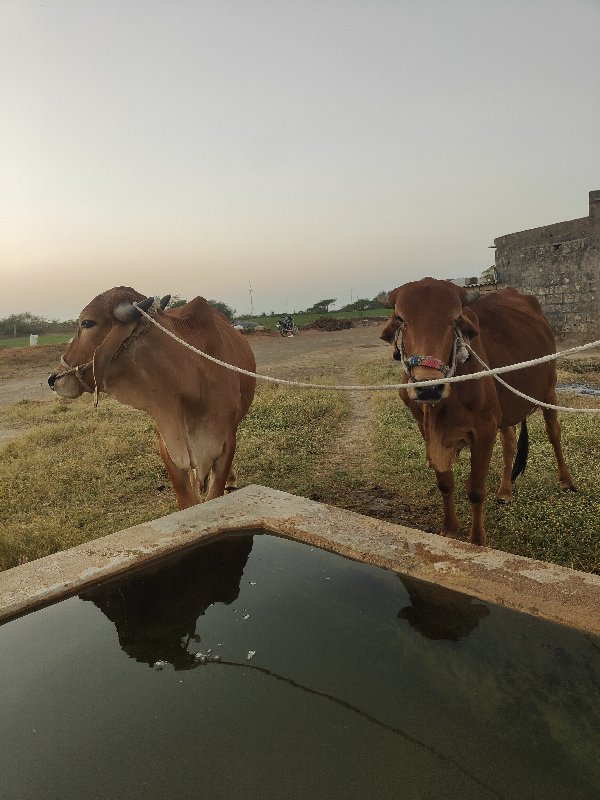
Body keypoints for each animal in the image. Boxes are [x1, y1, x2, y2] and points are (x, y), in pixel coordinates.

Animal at [382, 278, 576, 548]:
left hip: (548, 391)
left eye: (455, 318)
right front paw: (450, 531)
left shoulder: (484, 430)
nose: (429, 387)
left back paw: (566, 481)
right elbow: (445, 483)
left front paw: (476, 541)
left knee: (554, 434)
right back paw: (505, 491)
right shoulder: (426, 429)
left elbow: (475, 490)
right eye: (400, 318)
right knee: (510, 443)